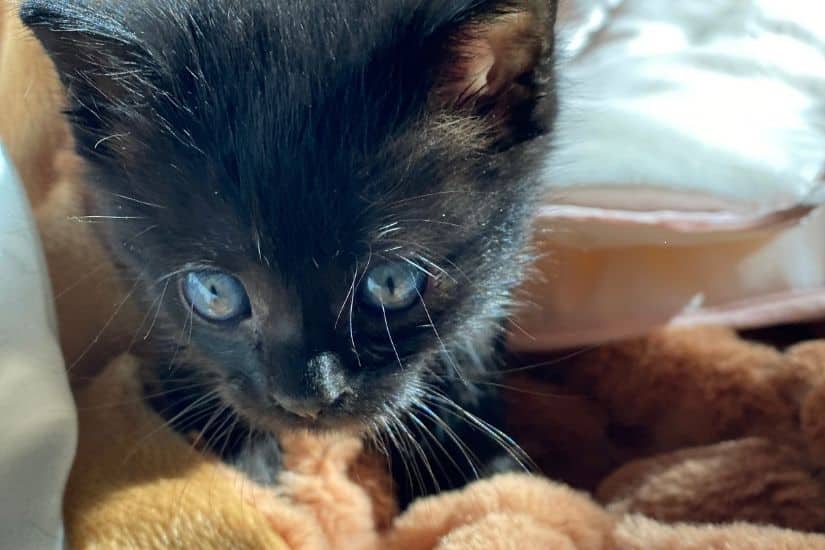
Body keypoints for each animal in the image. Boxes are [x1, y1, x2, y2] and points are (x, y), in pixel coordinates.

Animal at [22, 0, 556, 504]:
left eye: (391, 284)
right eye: (214, 292)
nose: (307, 400)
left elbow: (472, 336)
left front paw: (470, 463)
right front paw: (237, 449)